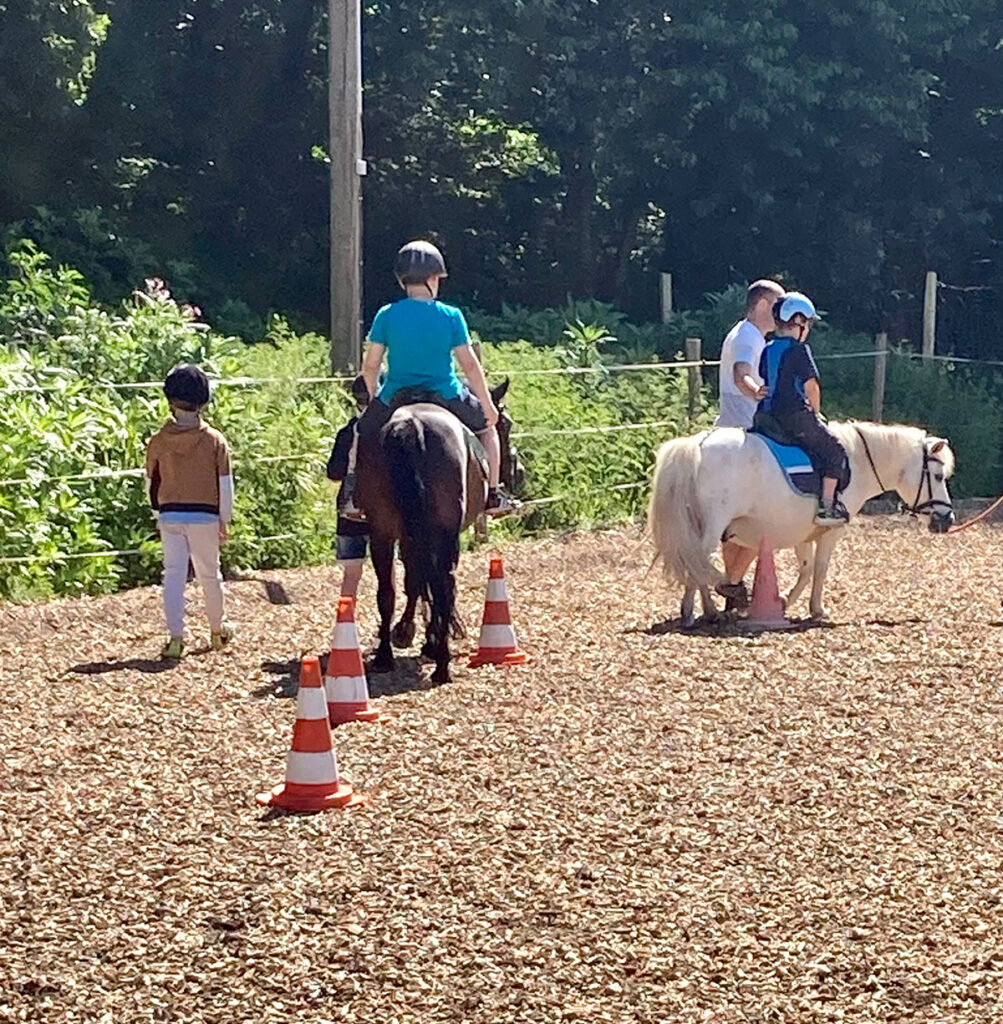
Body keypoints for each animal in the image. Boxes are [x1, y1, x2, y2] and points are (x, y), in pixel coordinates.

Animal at [354, 380, 524, 684]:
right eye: (505, 424)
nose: (520, 474)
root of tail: (411, 426)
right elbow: (428, 582)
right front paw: (428, 639)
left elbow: (413, 580)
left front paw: (408, 632)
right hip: (444, 533)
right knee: (444, 583)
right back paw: (442, 663)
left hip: (382, 531)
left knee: (388, 590)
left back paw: (385, 655)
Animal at [651, 417, 958, 622]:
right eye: (938, 476)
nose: (947, 519)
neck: (857, 460)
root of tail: (697, 443)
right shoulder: (831, 532)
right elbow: (820, 569)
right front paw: (817, 609)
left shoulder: (802, 533)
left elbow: (807, 569)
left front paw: (785, 602)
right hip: (713, 524)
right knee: (698, 560)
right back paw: (702, 611)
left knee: (696, 562)